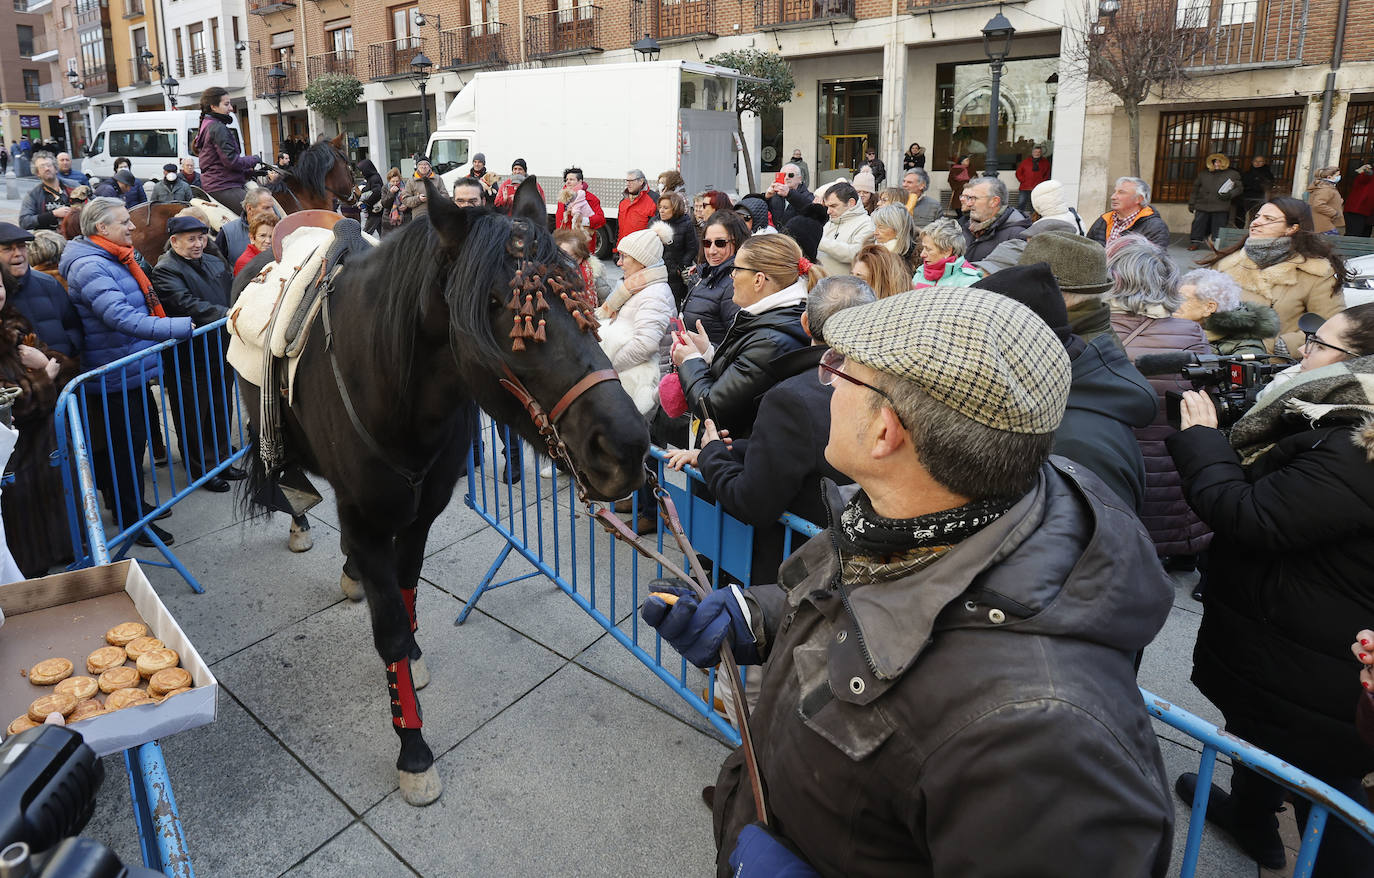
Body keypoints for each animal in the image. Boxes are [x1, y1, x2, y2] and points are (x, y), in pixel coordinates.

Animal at [233, 179, 645, 813]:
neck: (392, 390)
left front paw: (411, 661)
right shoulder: (367, 517)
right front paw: (413, 748)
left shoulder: (420, 516)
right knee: (284, 478)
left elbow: (405, 597)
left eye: (579, 294)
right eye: (499, 306)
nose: (625, 445)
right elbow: (390, 628)